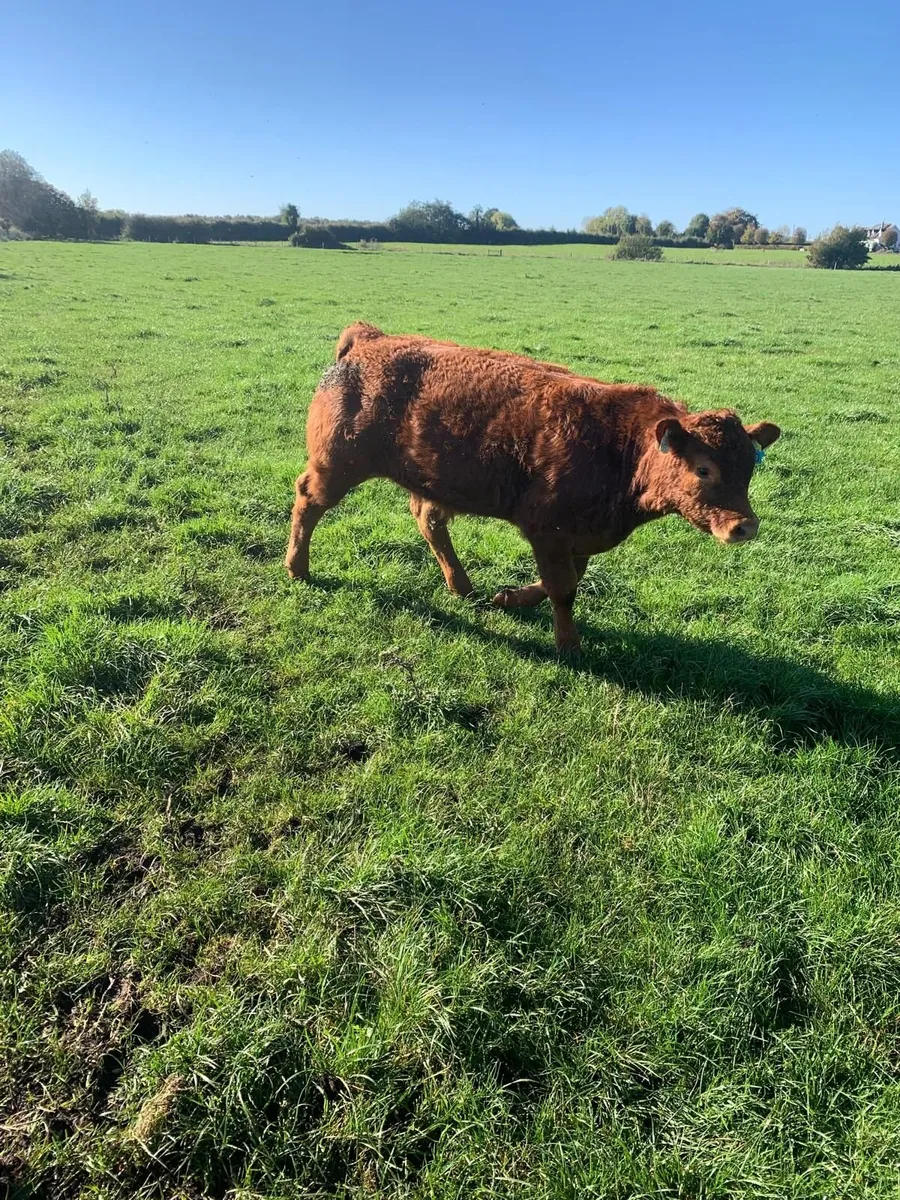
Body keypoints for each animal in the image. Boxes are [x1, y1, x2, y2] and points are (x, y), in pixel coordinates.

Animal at [285, 323, 781, 653]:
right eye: (703, 469)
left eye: (749, 470)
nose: (745, 526)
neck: (620, 446)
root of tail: (371, 339)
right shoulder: (548, 528)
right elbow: (563, 587)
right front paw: (569, 645)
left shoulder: (576, 535)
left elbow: (564, 580)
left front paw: (511, 599)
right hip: (336, 464)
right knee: (308, 500)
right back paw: (297, 567)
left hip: (430, 480)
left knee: (429, 521)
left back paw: (462, 585)